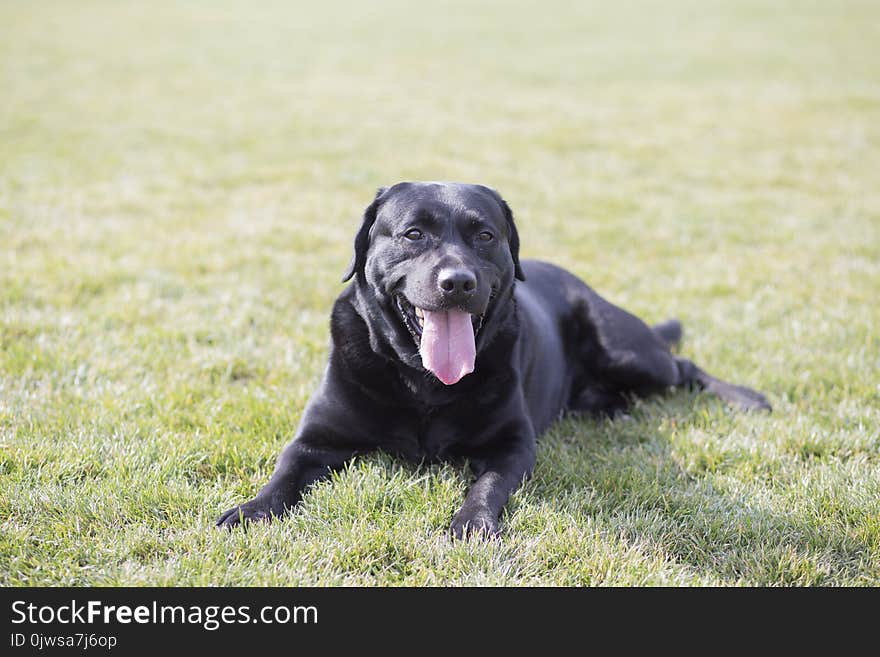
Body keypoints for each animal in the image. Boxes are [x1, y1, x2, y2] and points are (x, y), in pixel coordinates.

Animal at [215, 182, 768, 536]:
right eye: (413, 234)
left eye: (485, 235)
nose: (458, 282)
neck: (422, 383)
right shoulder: (316, 439)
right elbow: (284, 472)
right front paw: (250, 511)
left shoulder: (512, 444)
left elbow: (487, 485)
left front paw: (472, 522)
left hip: (627, 350)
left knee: (682, 368)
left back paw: (745, 398)